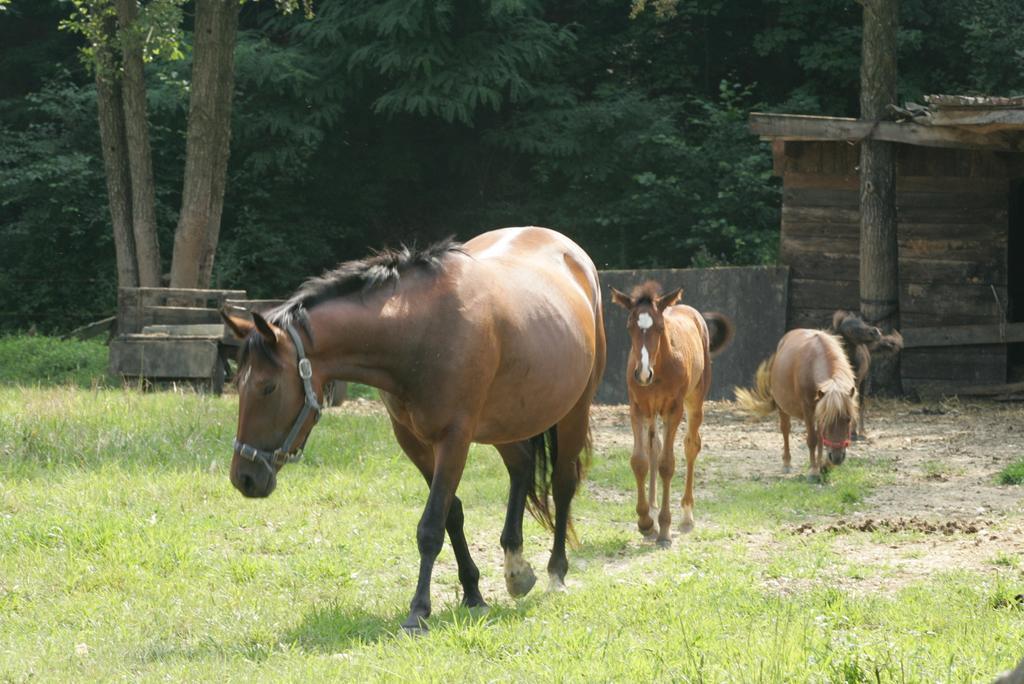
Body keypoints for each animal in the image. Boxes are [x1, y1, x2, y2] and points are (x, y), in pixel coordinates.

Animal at [220, 227, 602, 634]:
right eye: (238, 384)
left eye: (267, 387)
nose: (244, 478)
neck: (419, 334)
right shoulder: (413, 441)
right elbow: (451, 514)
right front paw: (472, 593)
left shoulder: (455, 439)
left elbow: (431, 525)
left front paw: (419, 610)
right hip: (508, 420)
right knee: (521, 468)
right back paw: (516, 568)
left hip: (573, 412)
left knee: (562, 486)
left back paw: (556, 572)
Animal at [606, 278, 737, 544]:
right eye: (629, 326)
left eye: (659, 327)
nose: (642, 373)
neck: (659, 367)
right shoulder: (637, 408)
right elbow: (640, 460)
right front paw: (646, 522)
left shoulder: (673, 410)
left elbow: (667, 464)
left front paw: (664, 528)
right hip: (652, 412)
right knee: (653, 447)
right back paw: (653, 506)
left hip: (694, 400)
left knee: (691, 445)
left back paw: (686, 515)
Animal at [737, 327, 864, 479]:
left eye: (848, 419)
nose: (837, 458)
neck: (815, 361)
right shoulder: (808, 409)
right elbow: (812, 439)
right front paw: (814, 471)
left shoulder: (821, 408)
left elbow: (820, 438)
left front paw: (823, 465)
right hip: (783, 408)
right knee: (785, 430)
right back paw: (787, 463)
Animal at [831, 309, 905, 438]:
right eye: (850, 330)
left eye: (863, 322)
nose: (875, 332)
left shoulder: (856, 381)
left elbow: (854, 404)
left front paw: (852, 433)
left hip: (863, 382)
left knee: (861, 404)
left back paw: (860, 432)